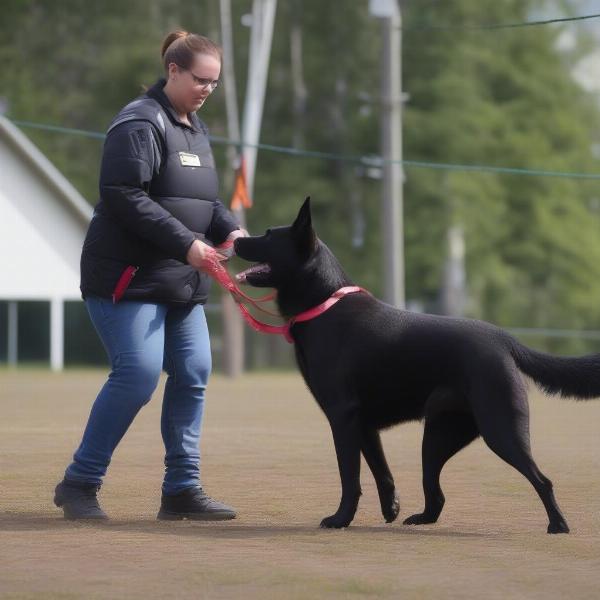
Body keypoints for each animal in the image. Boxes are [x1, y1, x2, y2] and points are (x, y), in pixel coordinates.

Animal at [234, 199, 600, 532]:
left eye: (268, 234)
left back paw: (558, 525)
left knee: (542, 479)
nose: (236, 240)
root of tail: (504, 339)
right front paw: (390, 510)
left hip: (501, 429)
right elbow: (382, 474)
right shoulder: (364, 424)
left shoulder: (343, 417)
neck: (325, 302)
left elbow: (350, 477)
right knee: (436, 493)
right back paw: (421, 518)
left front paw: (340, 519)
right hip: (437, 438)